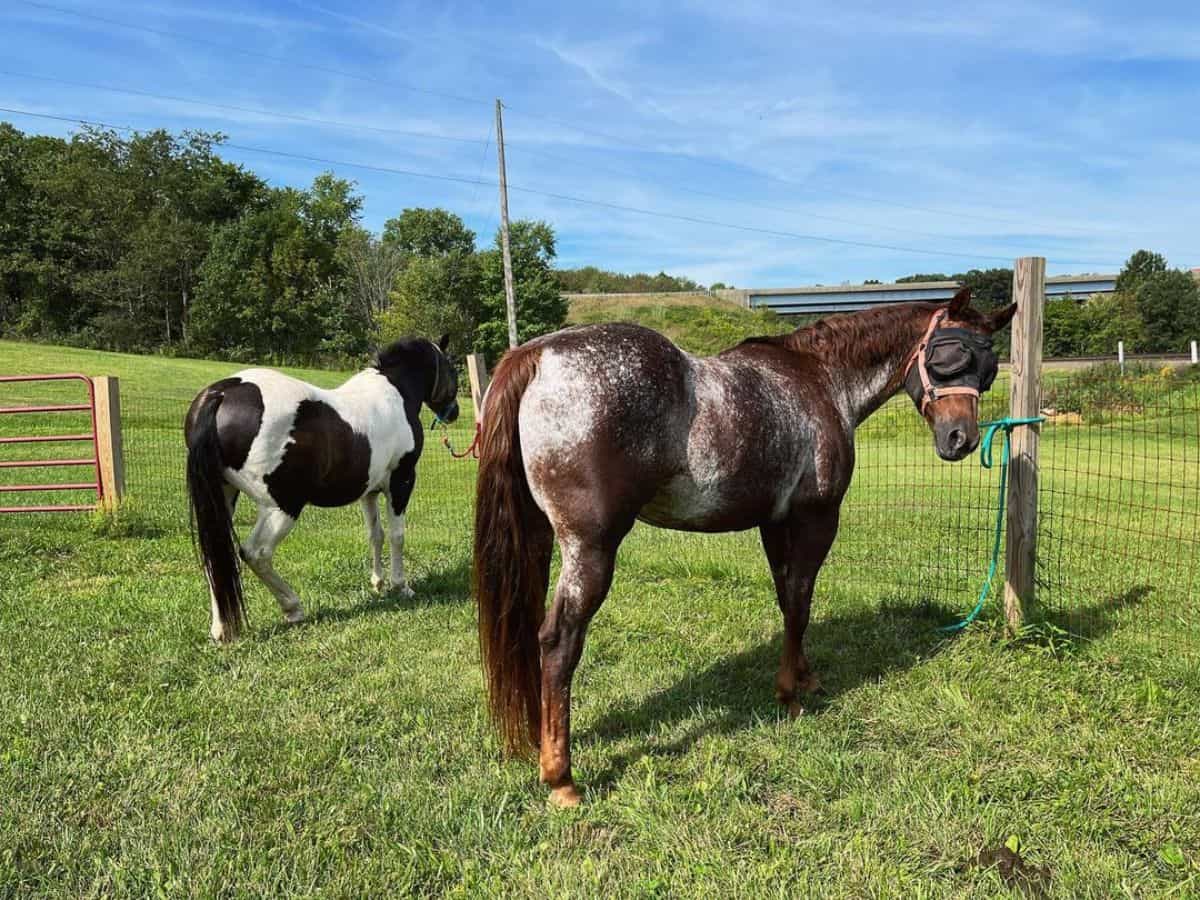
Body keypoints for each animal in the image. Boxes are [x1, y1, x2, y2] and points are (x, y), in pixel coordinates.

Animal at [186, 336, 458, 643]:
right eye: (452, 369)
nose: (455, 412)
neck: (396, 392)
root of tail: (220, 394)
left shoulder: (369, 492)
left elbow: (375, 535)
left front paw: (377, 583)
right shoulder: (401, 483)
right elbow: (397, 536)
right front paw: (401, 586)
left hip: (223, 498)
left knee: (217, 558)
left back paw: (222, 630)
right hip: (282, 506)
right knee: (256, 553)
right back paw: (293, 608)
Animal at [472, 290, 1017, 811]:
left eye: (988, 369)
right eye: (947, 356)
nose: (961, 439)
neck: (819, 378)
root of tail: (538, 355)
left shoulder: (774, 523)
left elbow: (788, 601)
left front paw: (804, 677)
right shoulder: (817, 518)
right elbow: (801, 600)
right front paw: (789, 694)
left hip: (542, 540)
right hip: (591, 549)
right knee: (559, 641)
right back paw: (561, 777)